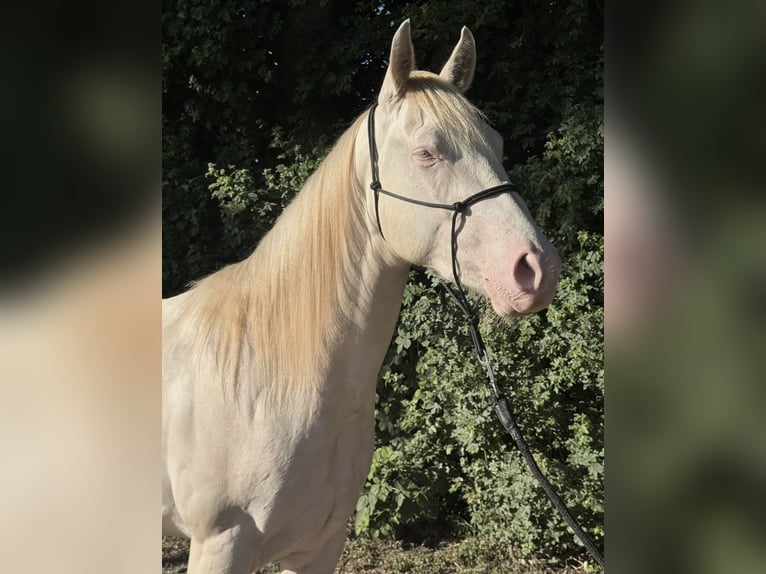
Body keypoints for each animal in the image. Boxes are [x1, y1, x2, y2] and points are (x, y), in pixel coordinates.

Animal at [162, 20, 561, 574]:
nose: (537, 269)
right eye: (426, 153)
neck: (271, 376)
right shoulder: (220, 546)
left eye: (498, 146)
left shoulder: (321, 545)